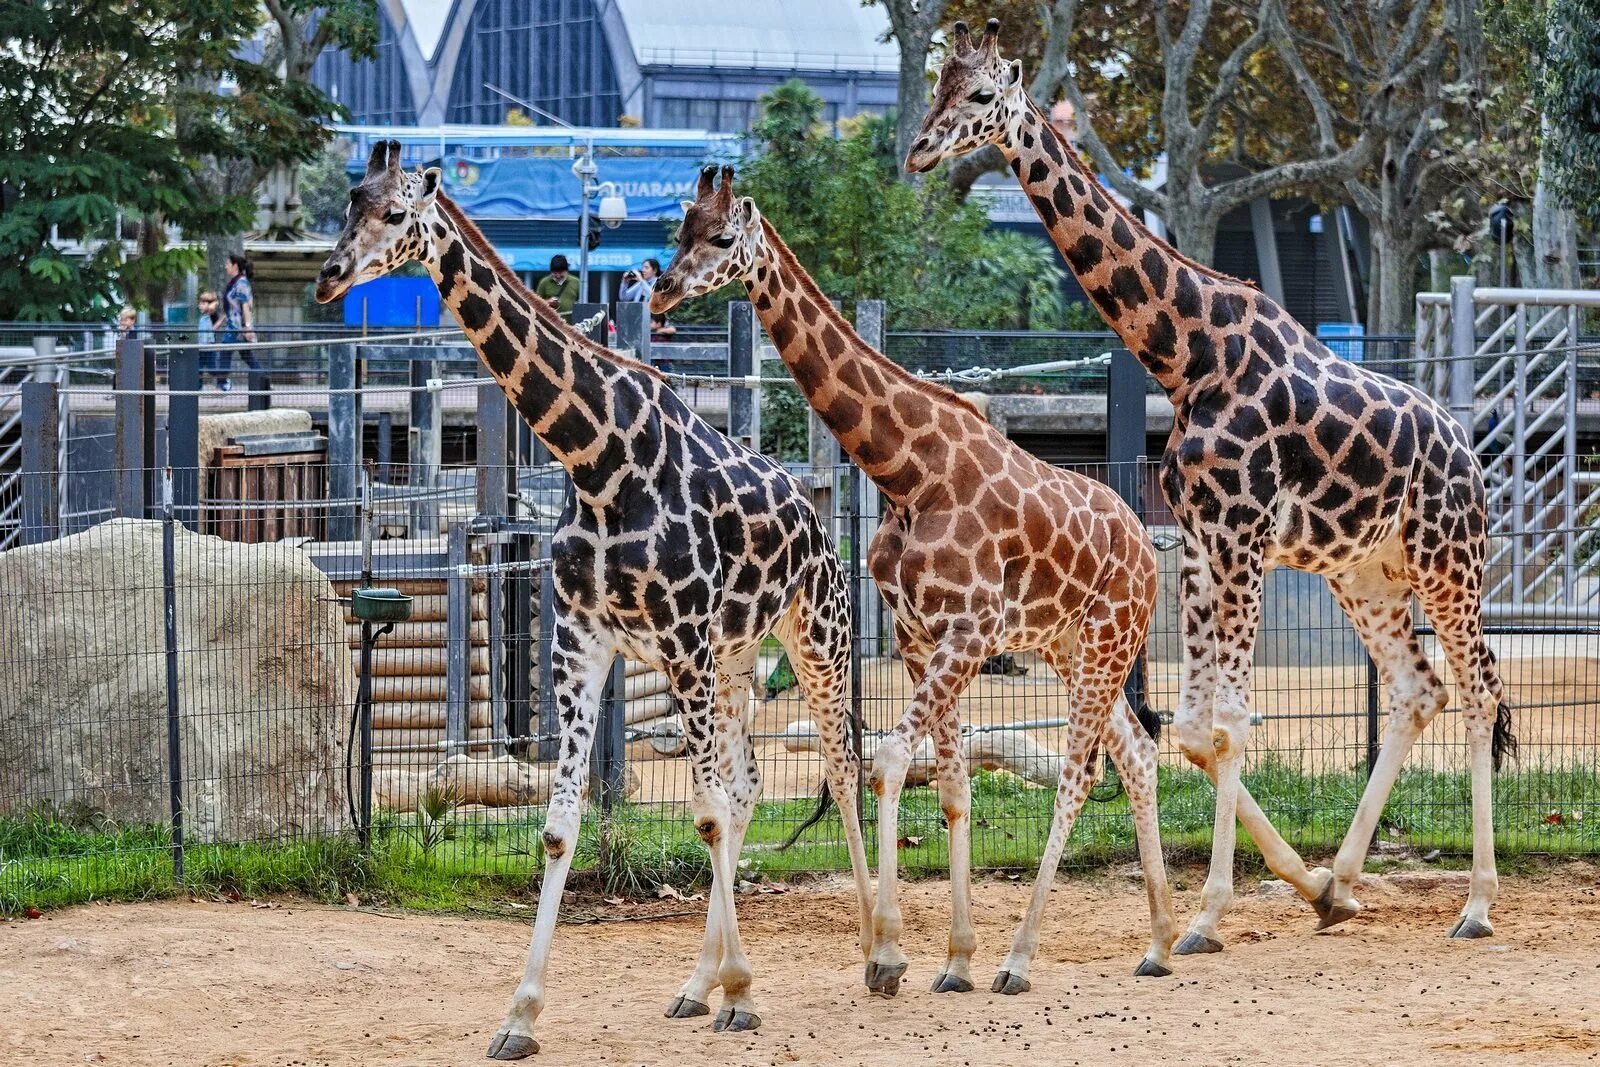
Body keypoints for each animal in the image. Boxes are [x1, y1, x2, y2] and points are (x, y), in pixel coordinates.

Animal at [315, 141, 876, 1062]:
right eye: (348, 202)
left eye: (395, 214)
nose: (329, 276)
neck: (596, 459)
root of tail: (816, 510)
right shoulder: (584, 642)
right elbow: (561, 825)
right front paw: (521, 1014)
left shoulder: (678, 639)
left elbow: (703, 815)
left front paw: (746, 991)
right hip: (732, 662)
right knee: (751, 784)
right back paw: (698, 984)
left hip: (814, 637)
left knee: (840, 765)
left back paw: (880, 950)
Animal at [646, 163, 1177, 998]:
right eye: (681, 230)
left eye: (724, 237)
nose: (662, 290)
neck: (907, 471)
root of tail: (1149, 550)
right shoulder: (919, 633)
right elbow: (953, 785)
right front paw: (953, 960)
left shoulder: (970, 630)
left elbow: (892, 761)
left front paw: (891, 952)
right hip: (1072, 647)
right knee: (1138, 756)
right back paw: (1157, 941)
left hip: (1105, 641)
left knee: (1078, 772)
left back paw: (1021, 959)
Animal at [908, 18, 1516, 953]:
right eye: (938, 83)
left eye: (979, 96)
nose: (918, 150)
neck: (1185, 353)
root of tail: (1470, 452)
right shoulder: (1201, 535)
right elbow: (1197, 727)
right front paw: (1298, 886)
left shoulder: (1244, 530)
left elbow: (1226, 721)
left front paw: (1204, 914)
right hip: (1365, 573)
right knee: (1420, 689)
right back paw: (1343, 881)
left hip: (1448, 560)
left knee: (1481, 691)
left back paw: (1478, 904)